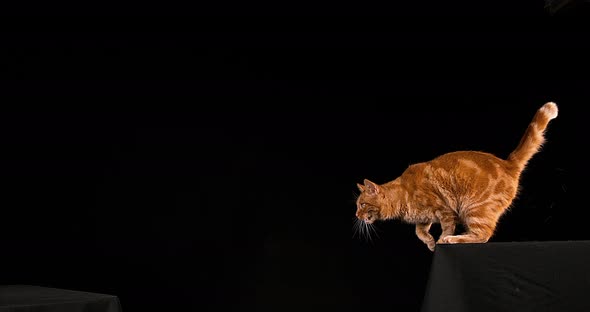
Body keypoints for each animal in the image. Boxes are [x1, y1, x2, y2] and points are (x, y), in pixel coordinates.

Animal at [356, 102, 560, 251]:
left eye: (362, 205)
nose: (357, 215)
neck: (403, 196)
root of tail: (507, 163)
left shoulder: (445, 210)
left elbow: (446, 227)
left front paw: (441, 239)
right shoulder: (423, 219)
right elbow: (419, 232)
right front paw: (430, 243)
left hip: (474, 209)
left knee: (482, 235)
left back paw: (453, 239)